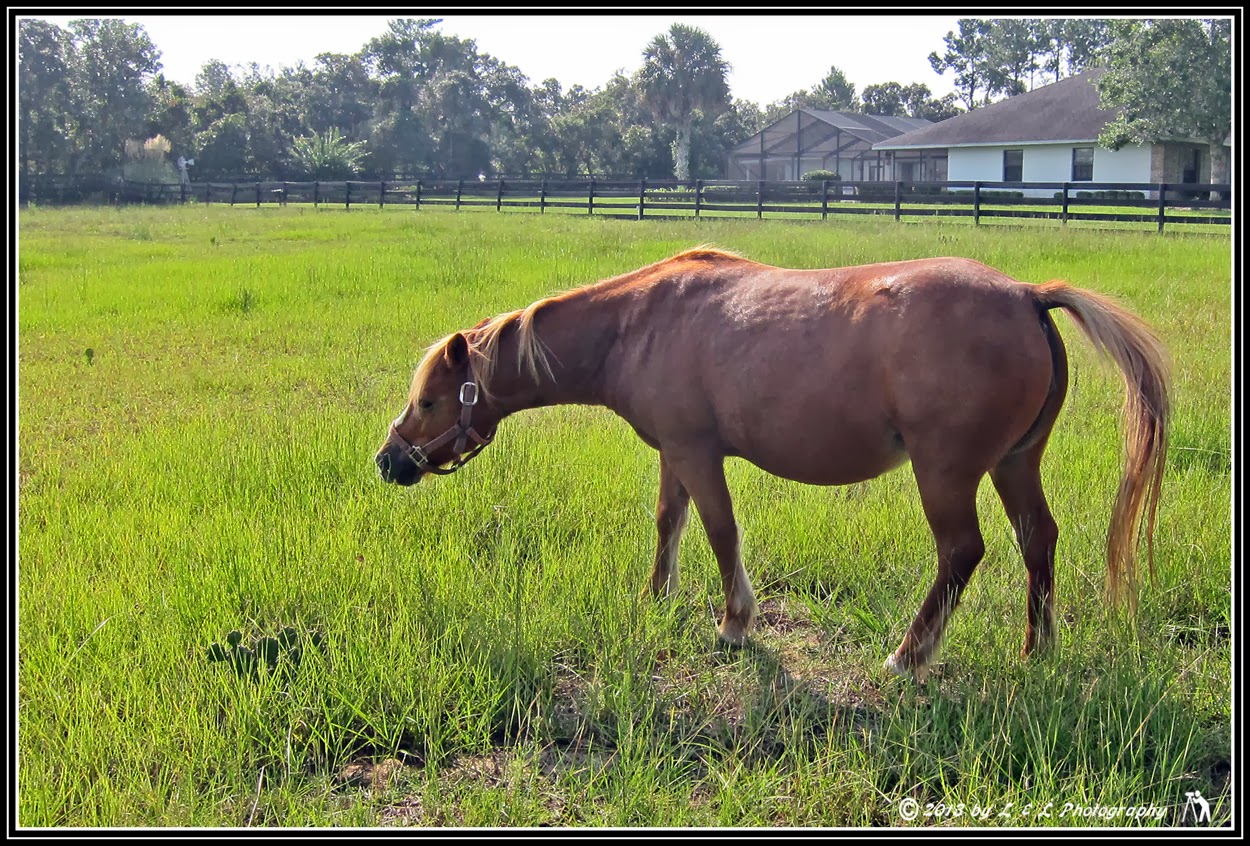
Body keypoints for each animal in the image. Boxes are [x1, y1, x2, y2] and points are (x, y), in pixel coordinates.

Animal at [375, 248, 1169, 681]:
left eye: (429, 400)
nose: (388, 461)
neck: (638, 324)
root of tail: (1028, 296)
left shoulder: (698, 453)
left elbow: (720, 533)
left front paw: (734, 624)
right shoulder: (675, 453)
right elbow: (668, 523)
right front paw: (655, 598)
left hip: (945, 473)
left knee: (961, 552)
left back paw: (908, 658)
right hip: (1013, 464)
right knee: (1038, 540)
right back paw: (1037, 651)